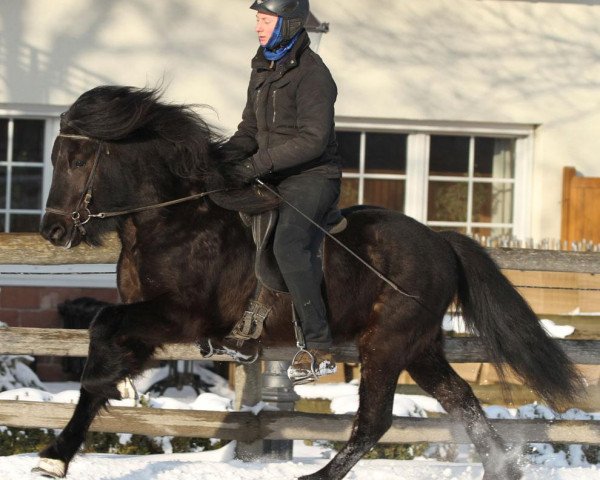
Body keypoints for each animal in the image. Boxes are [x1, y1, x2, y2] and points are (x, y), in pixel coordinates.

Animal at [37, 87, 580, 480]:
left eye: (78, 160)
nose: (53, 231)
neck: (174, 221)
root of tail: (442, 242)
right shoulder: (148, 324)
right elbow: (99, 372)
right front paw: (57, 453)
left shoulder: (180, 315)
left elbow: (100, 339)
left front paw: (56, 452)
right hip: (420, 347)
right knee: (461, 400)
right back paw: (502, 470)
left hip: (387, 343)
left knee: (375, 420)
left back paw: (317, 478)